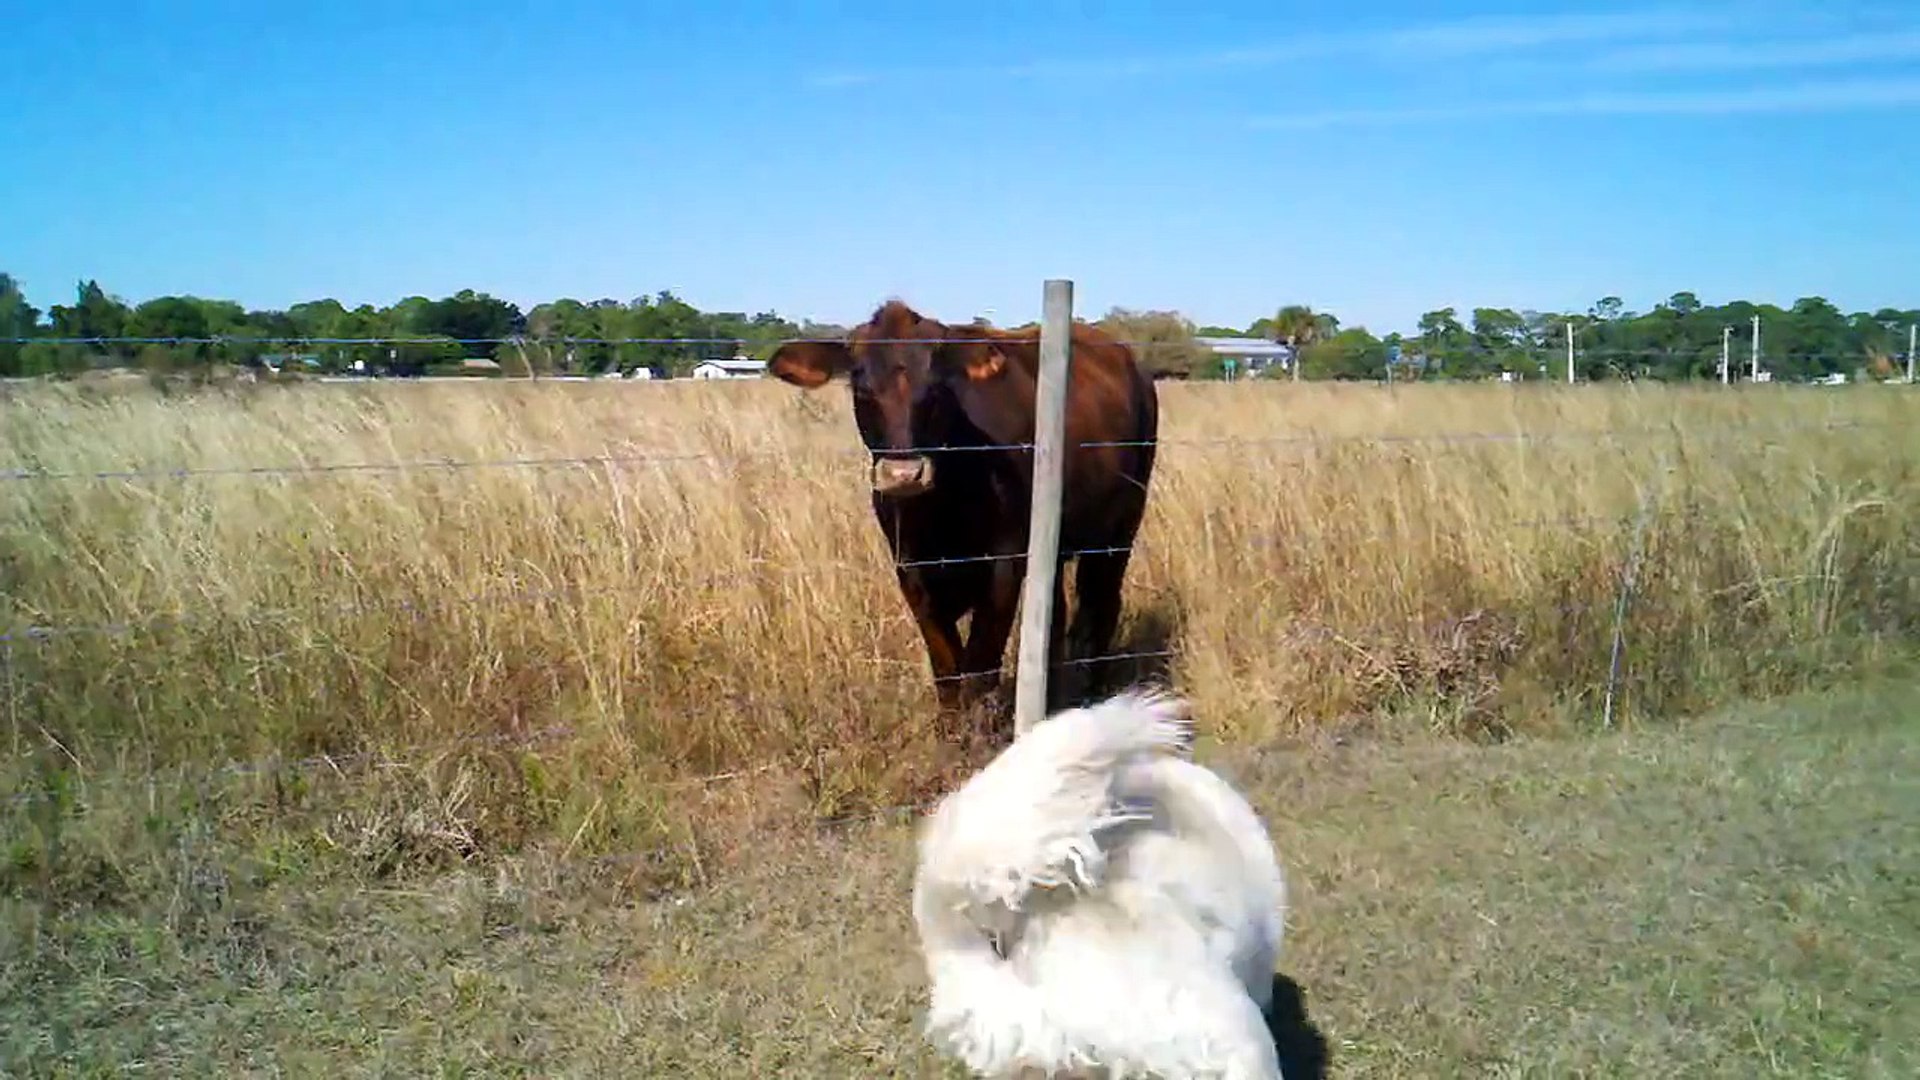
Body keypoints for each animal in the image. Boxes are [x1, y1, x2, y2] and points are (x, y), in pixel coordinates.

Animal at [764, 297, 1152, 726]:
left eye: (936, 389)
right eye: (861, 388)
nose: (904, 474)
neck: (941, 517)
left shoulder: (1004, 565)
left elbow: (980, 668)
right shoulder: (911, 571)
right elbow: (947, 669)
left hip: (1120, 529)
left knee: (1101, 605)